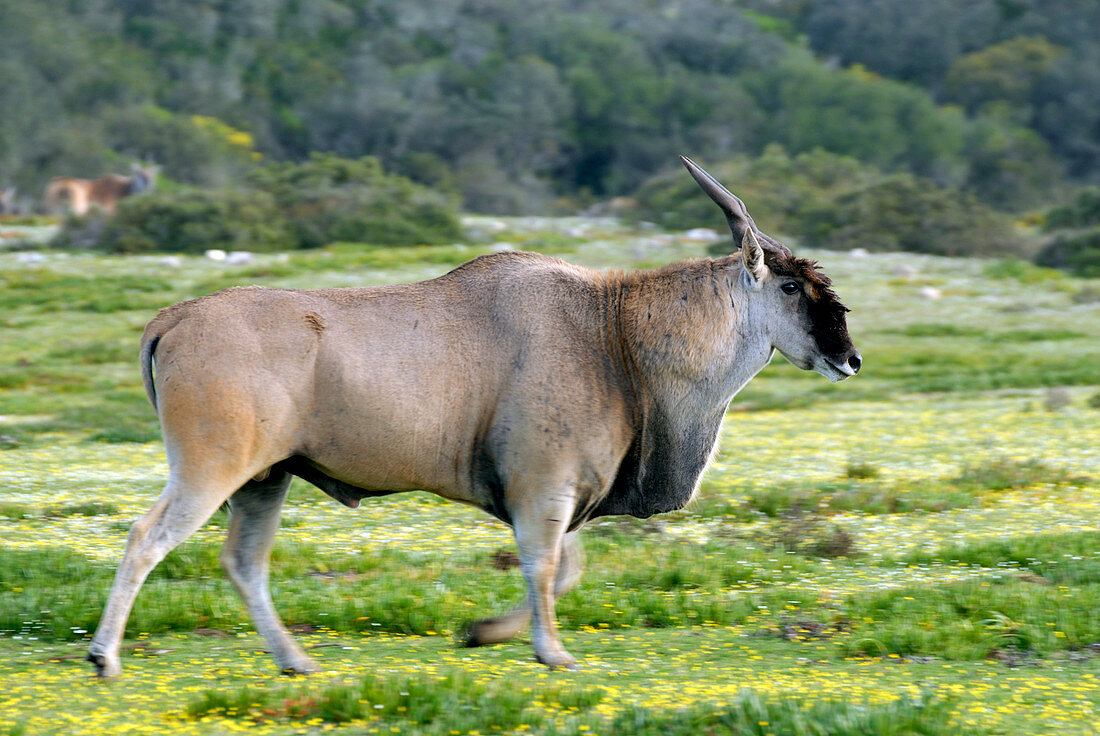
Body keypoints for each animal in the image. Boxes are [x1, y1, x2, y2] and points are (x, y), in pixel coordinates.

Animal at [88, 158, 858, 673]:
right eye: (792, 286)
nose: (848, 358)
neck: (613, 332)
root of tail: (173, 319)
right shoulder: (543, 489)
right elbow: (547, 568)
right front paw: (552, 652)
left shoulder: (553, 496)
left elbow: (563, 569)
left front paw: (484, 631)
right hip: (212, 468)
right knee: (146, 537)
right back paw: (105, 657)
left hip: (264, 479)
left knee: (243, 562)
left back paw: (296, 661)